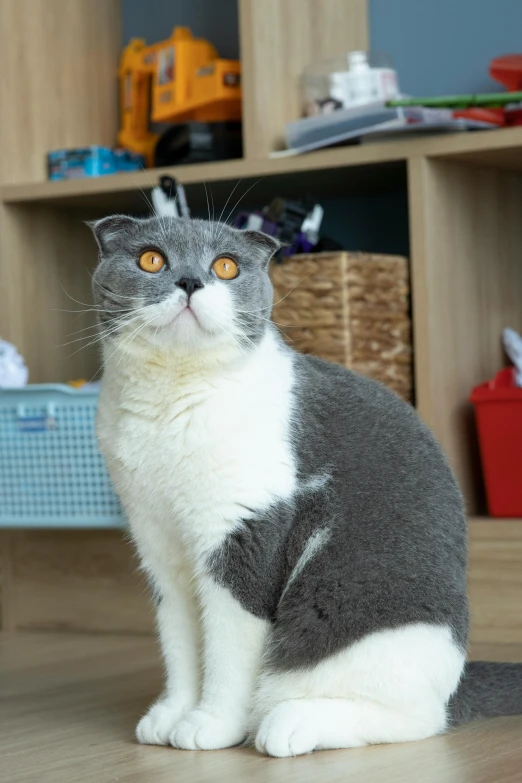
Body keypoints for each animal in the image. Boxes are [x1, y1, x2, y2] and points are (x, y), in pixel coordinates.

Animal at [89, 216, 520, 760]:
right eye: (151, 259)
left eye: (225, 266)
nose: (190, 282)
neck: (170, 402)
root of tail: (459, 680)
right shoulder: (160, 547)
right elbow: (180, 644)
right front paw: (171, 715)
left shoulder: (242, 537)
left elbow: (227, 653)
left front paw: (211, 724)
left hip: (368, 621)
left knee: (417, 719)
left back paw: (290, 723)